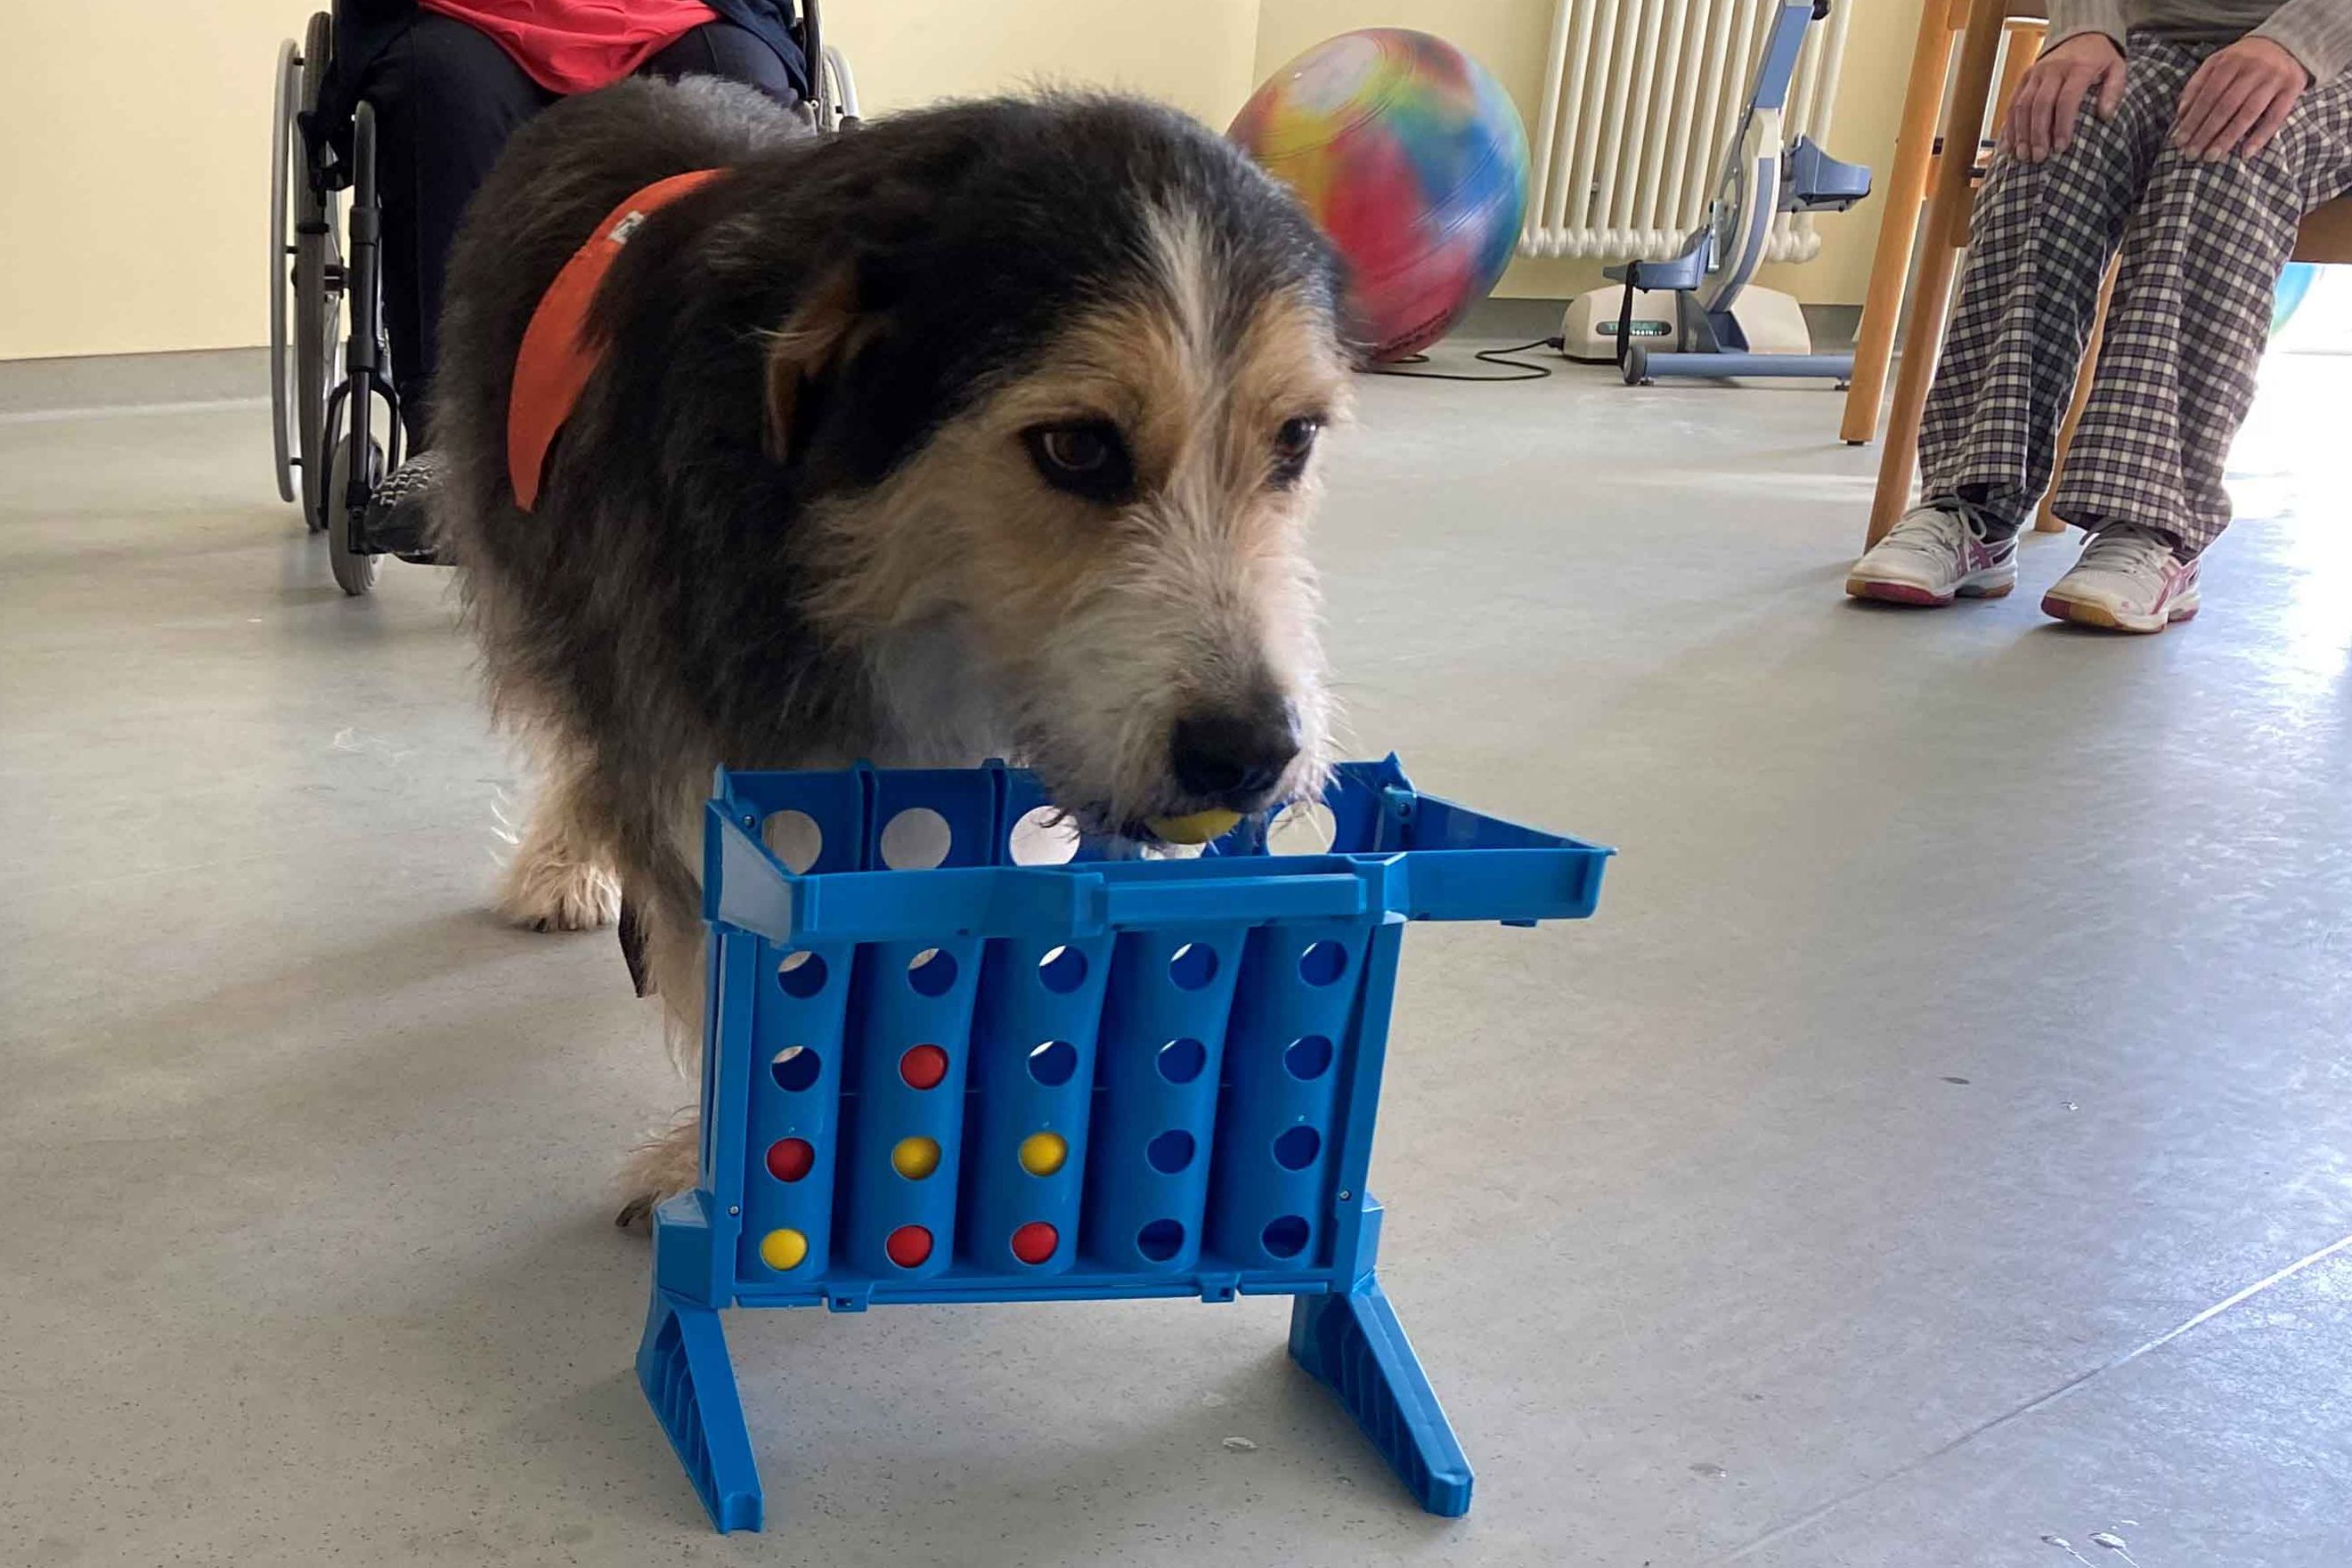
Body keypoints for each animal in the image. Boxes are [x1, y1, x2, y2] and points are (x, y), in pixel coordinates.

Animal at [432, 76, 1355, 1213]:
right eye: (1075, 446)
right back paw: (566, 864)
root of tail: (629, 82)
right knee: (578, 729)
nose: (1250, 754)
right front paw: (723, 1172)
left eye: (1295, 439)